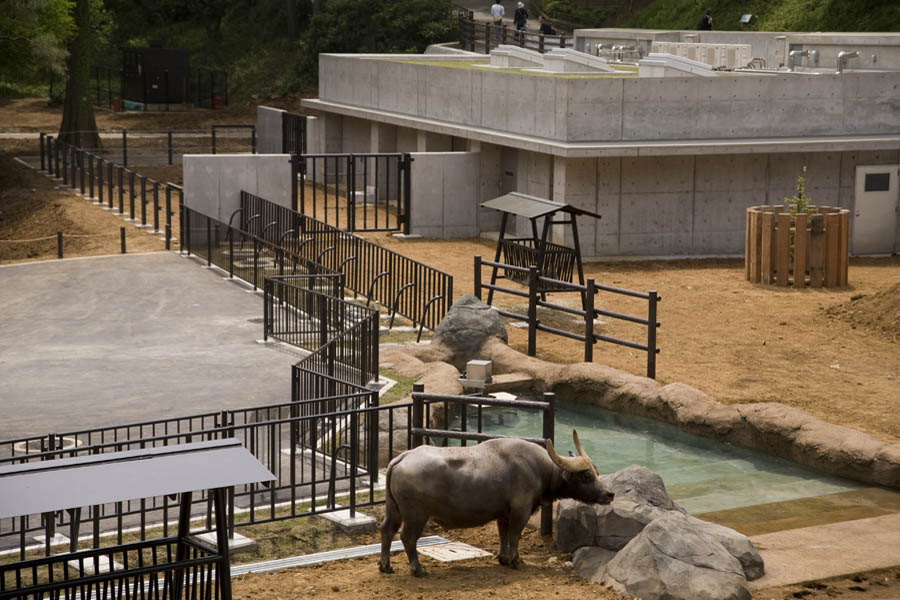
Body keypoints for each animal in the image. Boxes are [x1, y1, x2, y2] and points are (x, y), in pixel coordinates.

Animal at [376, 428, 616, 576]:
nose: (609, 494)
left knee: (387, 530)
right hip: (416, 515)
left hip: (394, 510)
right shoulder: (521, 510)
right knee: (407, 537)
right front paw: (516, 561)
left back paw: (385, 565)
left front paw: (503, 558)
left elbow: (503, 535)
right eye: (587, 476)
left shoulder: (504, 513)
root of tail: (402, 458)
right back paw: (417, 569)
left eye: (596, 472)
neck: (538, 469)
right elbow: (515, 535)